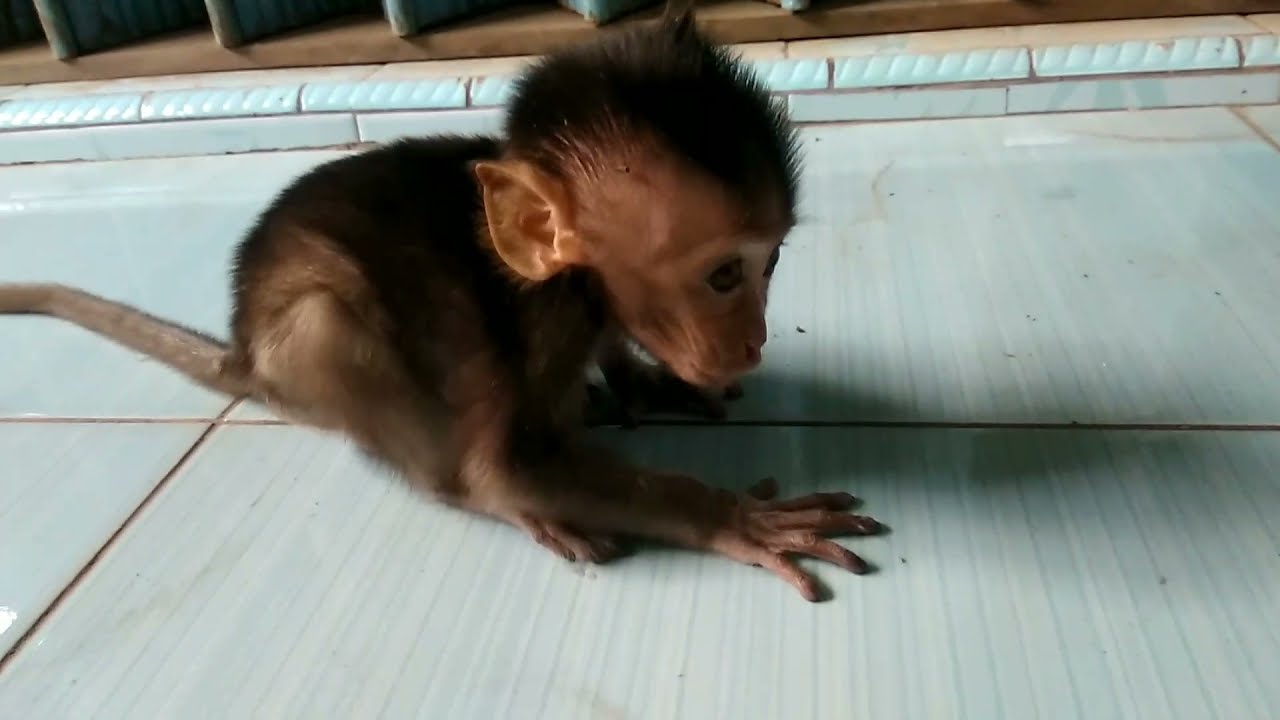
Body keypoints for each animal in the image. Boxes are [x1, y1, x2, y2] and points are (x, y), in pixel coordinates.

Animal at [0, 8, 883, 601]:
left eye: (771, 263)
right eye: (724, 276)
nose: (752, 341)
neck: (571, 282)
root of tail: (244, 347)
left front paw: (643, 383)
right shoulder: (548, 318)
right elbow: (507, 467)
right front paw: (729, 516)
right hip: (313, 351)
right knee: (342, 335)